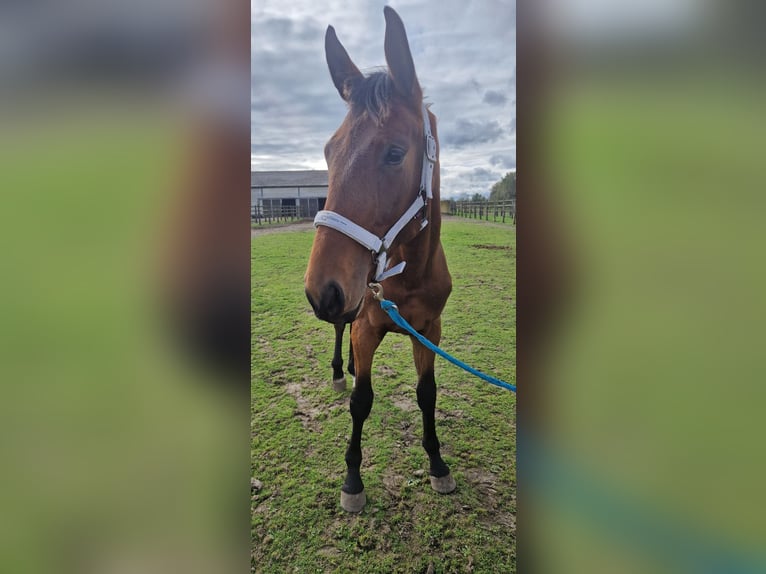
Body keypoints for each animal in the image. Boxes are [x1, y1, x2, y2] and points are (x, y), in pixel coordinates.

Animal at [304, 6, 452, 516]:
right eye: (329, 152)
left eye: (394, 152)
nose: (321, 290)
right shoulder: (367, 324)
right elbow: (361, 401)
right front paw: (352, 479)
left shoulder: (429, 331)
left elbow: (427, 394)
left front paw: (437, 463)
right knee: (340, 330)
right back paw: (338, 370)